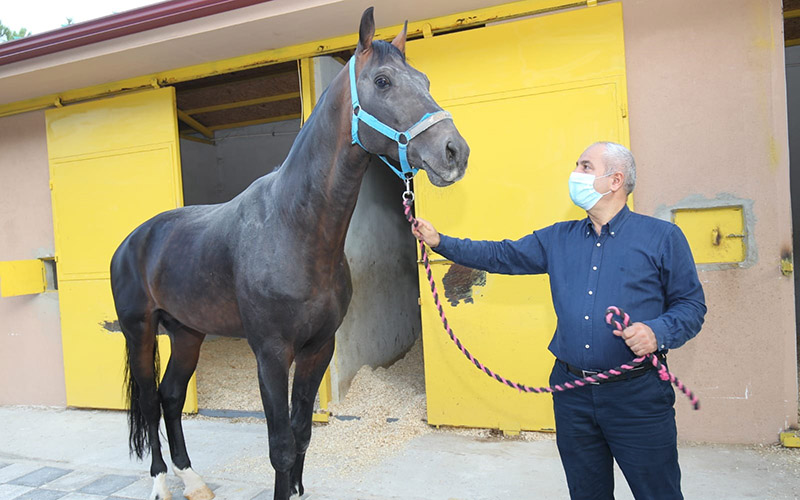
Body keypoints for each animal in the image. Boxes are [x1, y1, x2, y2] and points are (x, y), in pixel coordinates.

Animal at [108, 7, 468, 500]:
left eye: (425, 80)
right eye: (383, 81)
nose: (455, 152)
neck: (294, 229)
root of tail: (132, 241)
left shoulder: (319, 348)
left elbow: (302, 433)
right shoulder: (272, 354)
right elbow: (279, 445)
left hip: (187, 333)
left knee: (172, 396)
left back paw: (194, 480)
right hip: (140, 332)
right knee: (147, 402)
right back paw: (162, 482)